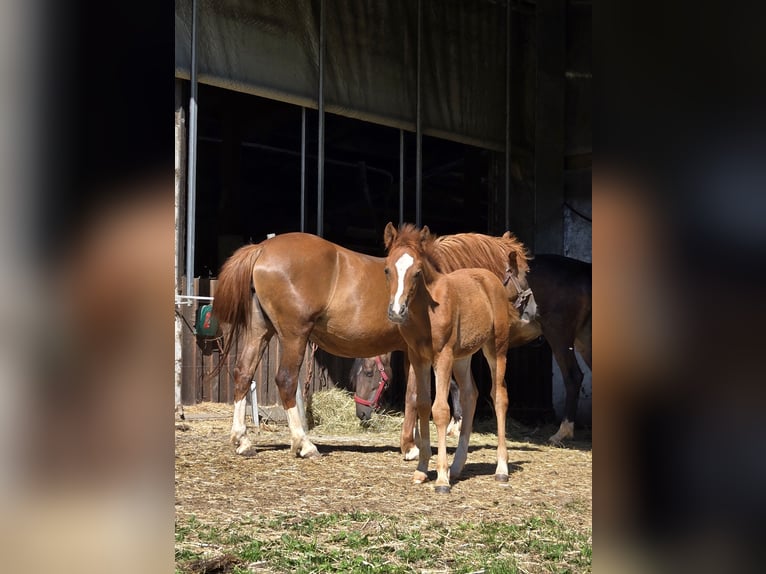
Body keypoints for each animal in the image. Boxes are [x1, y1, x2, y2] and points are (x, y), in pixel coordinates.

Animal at [216, 230, 528, 460]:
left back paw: (242, 440)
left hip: (260, 331)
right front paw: (412, 447)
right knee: (286, 380)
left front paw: (415, 442)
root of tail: (261, 249)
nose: (530, 307)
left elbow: (418, 395)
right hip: (294, 336)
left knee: (243, 373)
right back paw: (304, 443)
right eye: (523, 272)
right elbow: (417, 394)